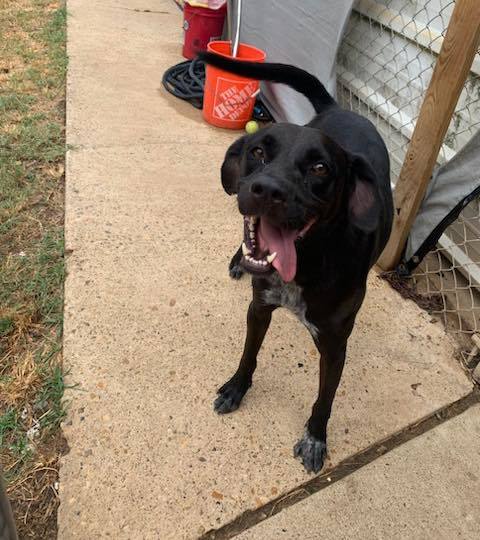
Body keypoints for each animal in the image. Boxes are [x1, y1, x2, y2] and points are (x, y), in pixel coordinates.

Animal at [201, 51, 392, 472]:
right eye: (257, 151)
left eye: (320, 168)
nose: (268, 190)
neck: (307, 264)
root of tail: (339, 108)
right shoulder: (258, 309)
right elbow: (249, 355)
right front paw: (236, 388)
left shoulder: (335, 347)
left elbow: (325, 399)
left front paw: (315, 438)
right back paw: (238, 260)